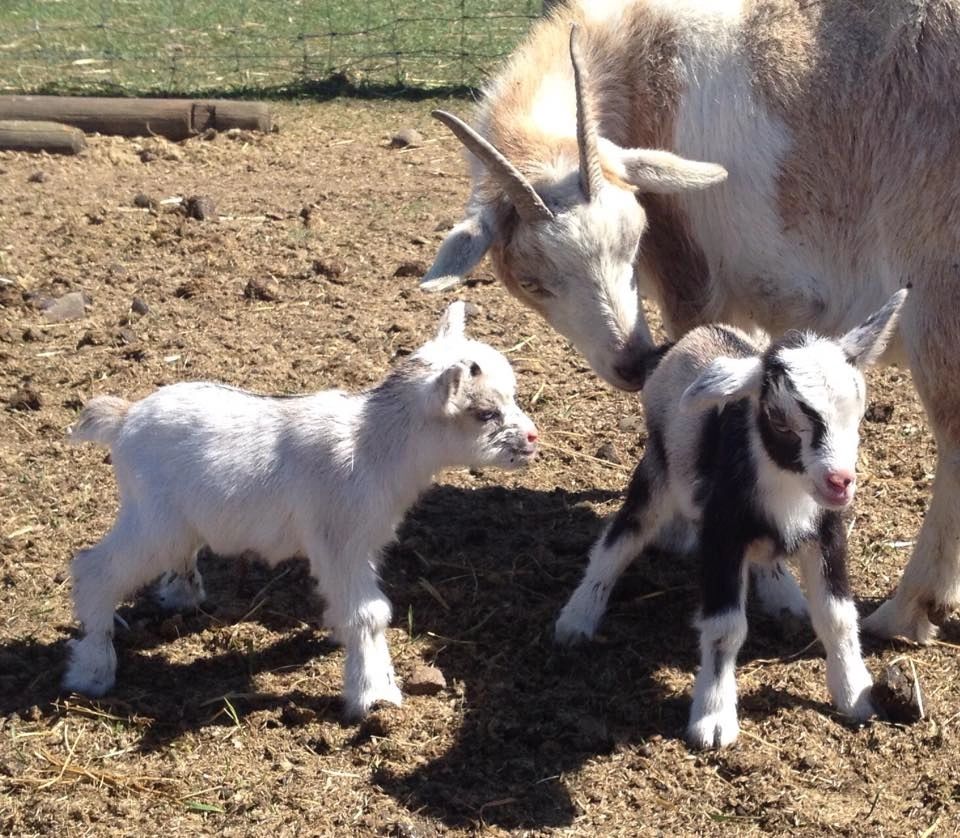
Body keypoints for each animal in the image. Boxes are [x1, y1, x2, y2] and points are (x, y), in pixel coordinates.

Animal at [62, 302, 539, 719]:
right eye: (485, 413)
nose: (533, 438)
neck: (374, 444)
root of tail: (123, 419)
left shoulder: (361, 541)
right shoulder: (340, 537)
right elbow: (371, 613)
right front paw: (375, 696)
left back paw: (181, 596)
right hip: (153, 521)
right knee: (94, 568)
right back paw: (93, 670)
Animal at [422, 0, 960, 645]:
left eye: (636, 236)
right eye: (532, 281)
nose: (632, 363)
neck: (635, 52)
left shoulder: (692, 277)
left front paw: (683, 527)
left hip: (940, 290)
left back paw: (906, 610)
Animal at [555, 290, 906, 748]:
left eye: (858, 413)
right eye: (779, 419)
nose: (840, 482)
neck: (787, 488)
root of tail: (696, 335)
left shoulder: (828, 532)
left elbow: (838, 616)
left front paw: (855, 694)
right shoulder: (721, 533)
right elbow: (726, 627)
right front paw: (714, 719)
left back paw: (783, 593)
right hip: (657, 472)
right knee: (621, 539)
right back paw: (578, 617)